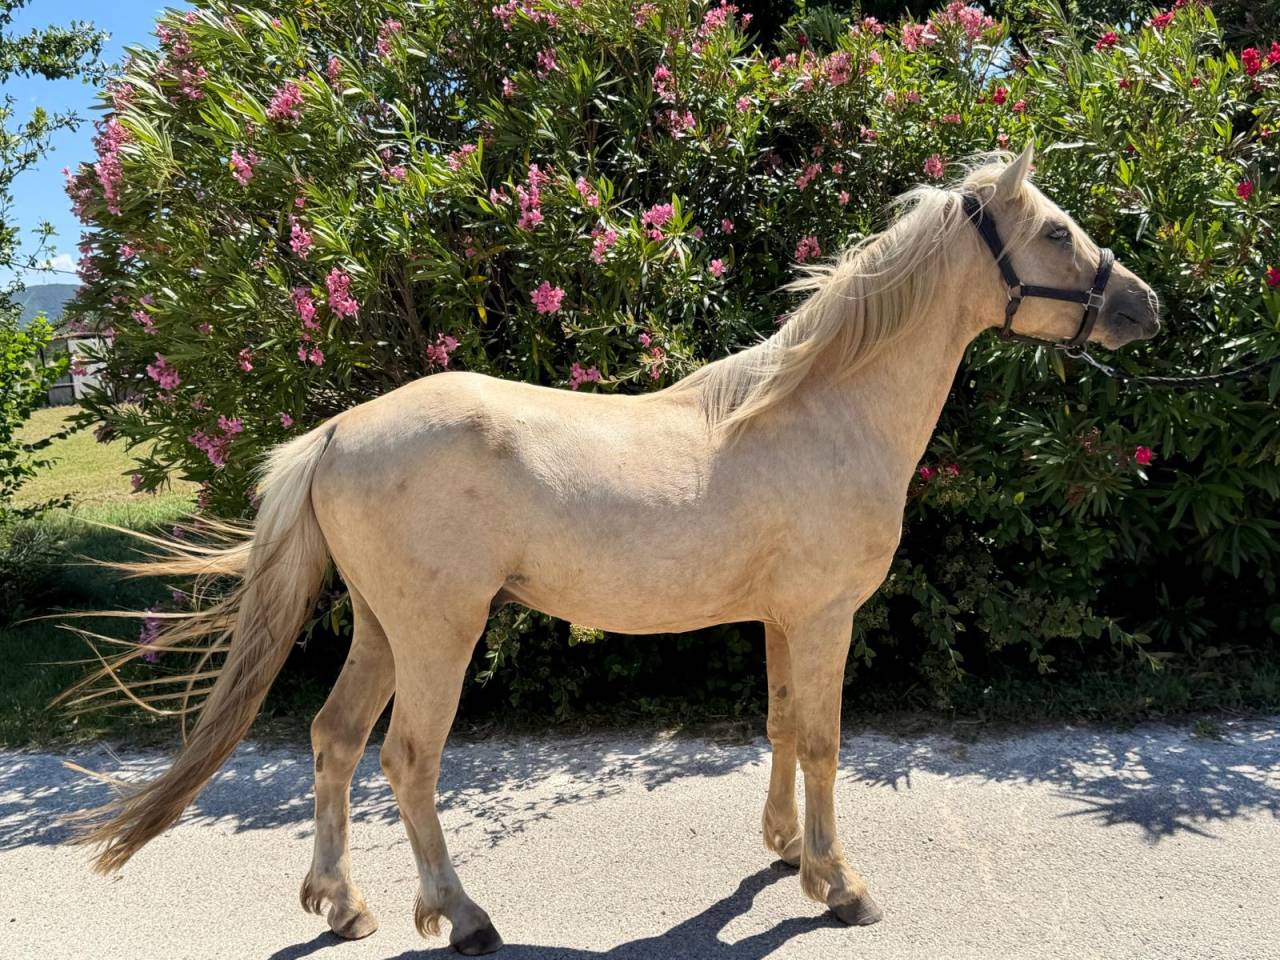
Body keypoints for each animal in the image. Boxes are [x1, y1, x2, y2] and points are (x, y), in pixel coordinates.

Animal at [65, 144, 1160, 955]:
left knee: (333, 743)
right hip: (437, 633)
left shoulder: (781, 617)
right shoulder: (821, 615)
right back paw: (460, 916)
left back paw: (344, 905)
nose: (1143, 306)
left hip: (380, 627)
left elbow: (777, 723)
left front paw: (781, 852)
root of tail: (335, 433)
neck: (822, 412)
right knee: (406, 760)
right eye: (1055, 231)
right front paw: (838, 884)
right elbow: (821, 739)